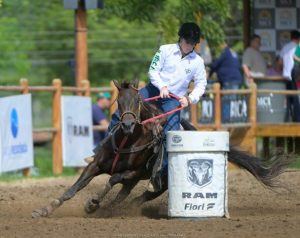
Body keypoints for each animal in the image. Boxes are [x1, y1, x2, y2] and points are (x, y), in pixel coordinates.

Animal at [31, 80, 292, 218]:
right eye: (118, 102)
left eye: (137, 101)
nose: (127, 124)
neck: (127, 141)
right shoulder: (95, 165)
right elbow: (72, 189)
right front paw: (44, 210)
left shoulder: (134, 172)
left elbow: (112, 179)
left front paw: (93, 201)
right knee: (125, 195)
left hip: (161, 182)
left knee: (139, 196)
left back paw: (115, 208)